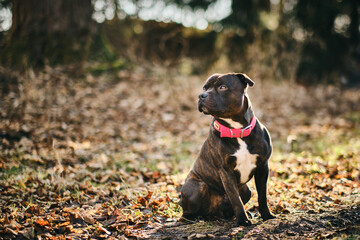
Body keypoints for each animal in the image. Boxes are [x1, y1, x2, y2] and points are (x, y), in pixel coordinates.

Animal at [180, 72, 276, 226]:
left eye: (223, 87)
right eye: (205, 88)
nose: (201, 95)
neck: (236, 130)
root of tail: (212, 214)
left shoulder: (263, 166)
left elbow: (262, 195)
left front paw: (267, 215)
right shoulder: (225, 170)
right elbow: (235, 198)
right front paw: (243, 221)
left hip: (246, 190)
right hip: (197, 187)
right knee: (186, 213)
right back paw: (191, 219)